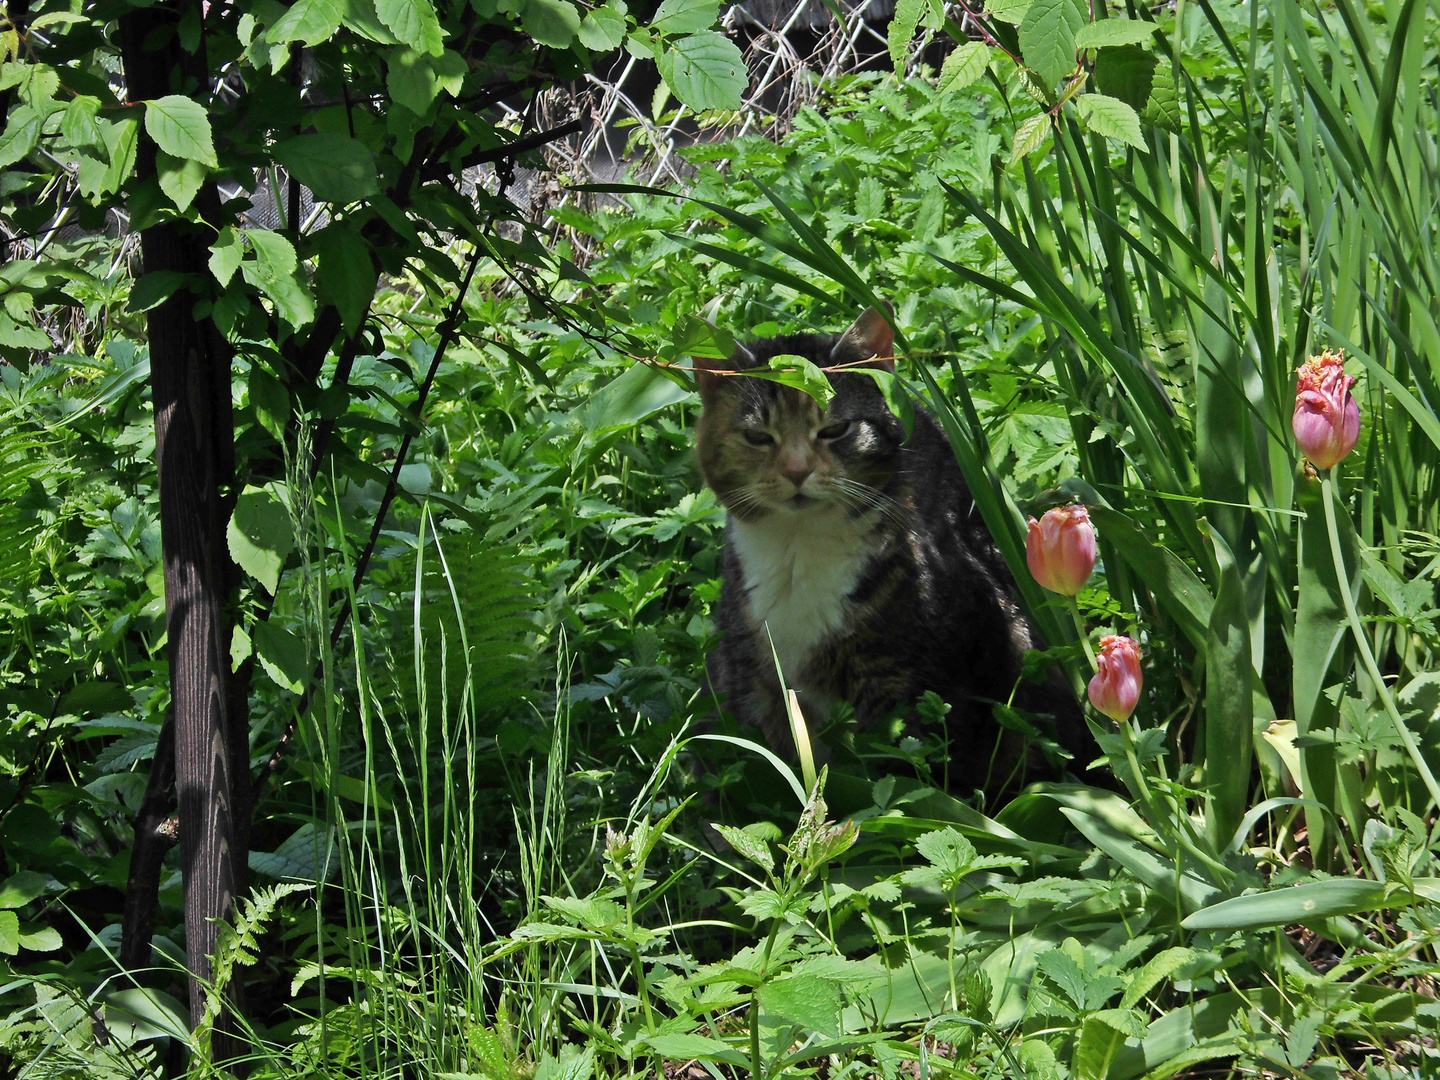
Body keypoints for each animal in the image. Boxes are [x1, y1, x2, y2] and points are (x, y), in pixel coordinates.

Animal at [691, 306, 1082, 794]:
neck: (800, 547)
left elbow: (908, 773)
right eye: (758, 437)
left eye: (836, 430)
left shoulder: (908, 682)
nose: (797, 471)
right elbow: (766, 766)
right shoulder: (754, 674)